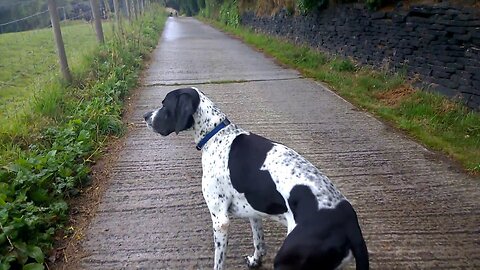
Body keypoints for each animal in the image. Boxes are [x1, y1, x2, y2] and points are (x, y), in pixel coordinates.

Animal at [142, 87, 368, 268]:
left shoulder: (220, 220)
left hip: (287, 261)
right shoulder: (254, 212)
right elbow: (259, 241)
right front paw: (255, 261)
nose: (145, 116)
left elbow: (219, 262)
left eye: (165, 104)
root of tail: (350, 225)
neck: (216, 135)